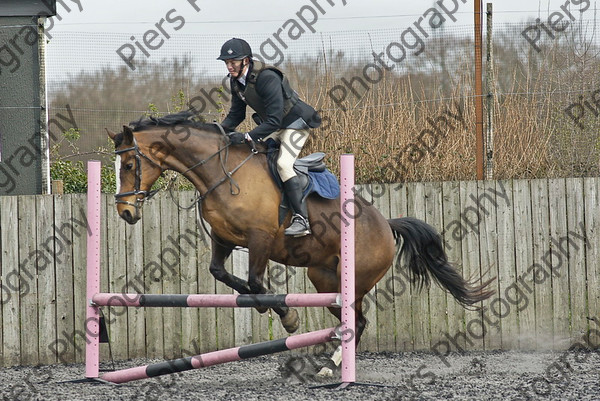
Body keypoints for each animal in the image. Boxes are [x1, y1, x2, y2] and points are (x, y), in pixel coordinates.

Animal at [106, 110, 492, 366]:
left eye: (129, 166)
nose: (125, 212)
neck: (219, 171)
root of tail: (385, 224)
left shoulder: (260, 239)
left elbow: (256, 282)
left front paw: (287, 317)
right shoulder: (224, 239)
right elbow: (225, 275)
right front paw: (267, 308)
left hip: (353, 280)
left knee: (357, 322)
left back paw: (332, 366)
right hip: (323, 279)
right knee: (351, 320)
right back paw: (330, 359)